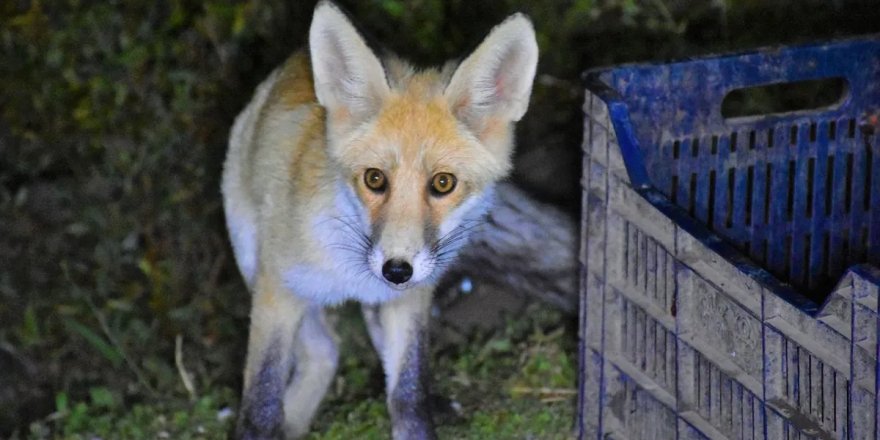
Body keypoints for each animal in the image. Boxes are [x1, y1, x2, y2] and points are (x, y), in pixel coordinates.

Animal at [222, 1, 536, 438]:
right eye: (374, 179)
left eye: (443, 183)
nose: (396, 270)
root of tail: (295, 58)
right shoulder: (277, 290)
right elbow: (261, 401)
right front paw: (265, 425)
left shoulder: (411, 298)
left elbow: (409, 392)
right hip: (251, 256)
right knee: (325, 351)